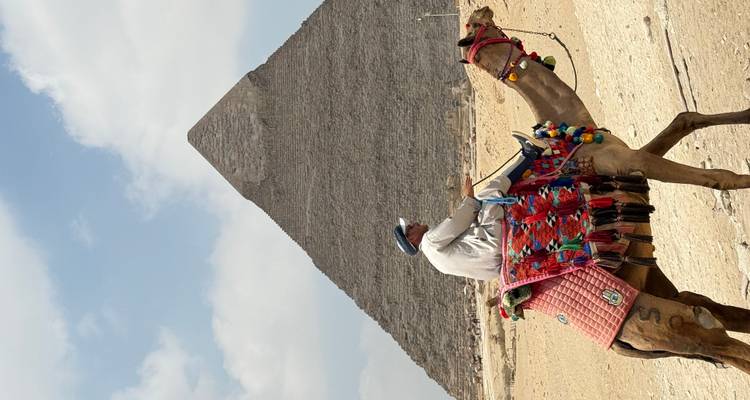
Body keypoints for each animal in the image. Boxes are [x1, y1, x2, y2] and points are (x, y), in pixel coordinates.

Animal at [459, 6, 750, 374]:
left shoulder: (632, 160)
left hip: (663, 295)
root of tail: (621, 346)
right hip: (672, 325)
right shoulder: (635, 162)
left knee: (713, 312)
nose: (482, 9)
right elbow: (719, 176)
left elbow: (687, 118)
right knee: (724, 341)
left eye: (478, 26)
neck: (573, 131)